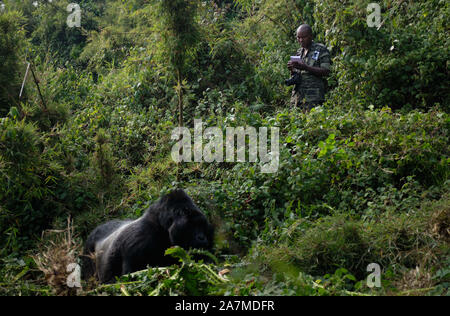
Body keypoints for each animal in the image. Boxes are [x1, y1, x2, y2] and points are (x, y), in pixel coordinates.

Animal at [81, 189, 214, 282]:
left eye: (202, 225)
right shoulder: (140, 239)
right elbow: (131, 275)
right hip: (88, 248)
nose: (202, 238)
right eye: (192, 225)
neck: (161, 228)